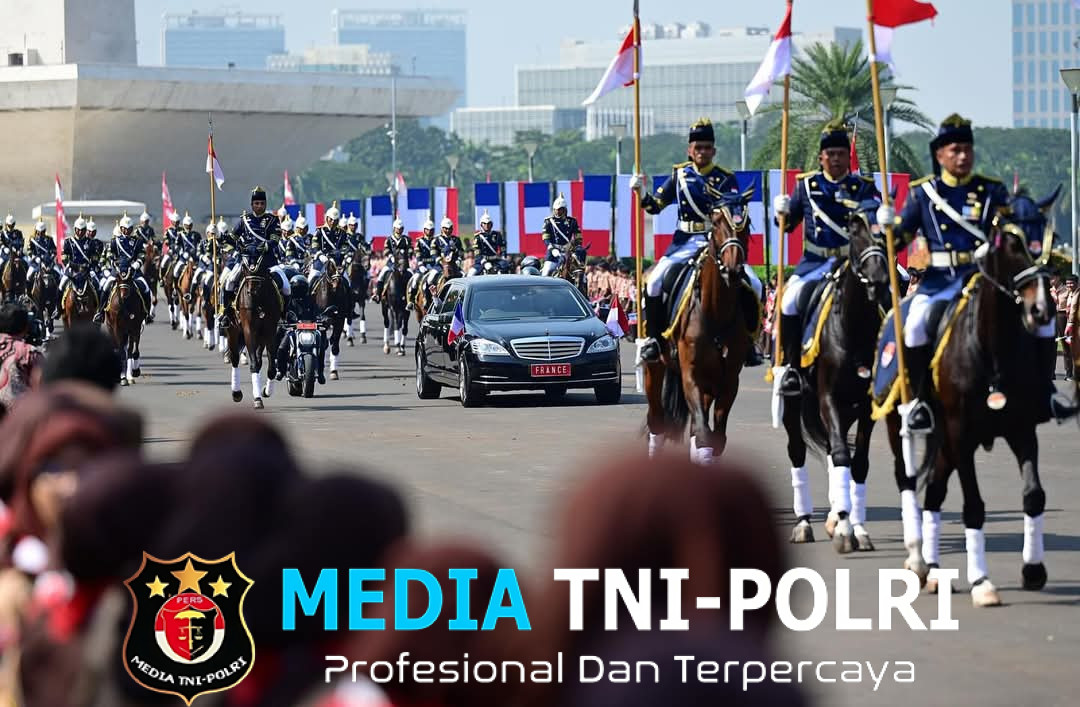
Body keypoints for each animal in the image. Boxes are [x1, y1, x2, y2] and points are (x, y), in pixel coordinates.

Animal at [225, 247, 283, 409]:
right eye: (244, 266)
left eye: (262, 265)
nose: (252, 291)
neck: (259, 301)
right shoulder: (248, 330)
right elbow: (254, 364)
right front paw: (257, 398)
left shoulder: (270, 330)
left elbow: (271, 367)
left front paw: (266, 391)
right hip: (233, 330)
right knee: (235, 358)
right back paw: (236, 392)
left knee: (258, 357)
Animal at [643, 188, 757, 464]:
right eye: (716, 222)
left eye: (746, 223)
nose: (733, 269)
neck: (715, 311)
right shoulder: (691, 375)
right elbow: (705, 436)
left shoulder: (728, 380)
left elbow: (715, 439)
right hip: (655, 369)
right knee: (657, 421)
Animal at [783, 202, 891, 553]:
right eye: (855, 232)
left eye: (886, 233)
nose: (878, 280)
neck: (854, 329)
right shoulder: (827, 396)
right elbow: (843, 454)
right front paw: (845, 530)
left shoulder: (867, 406)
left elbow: (858, 463)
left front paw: (855, 527)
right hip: (796, 403)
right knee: (798, 450)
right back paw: (804, 522)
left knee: (834, 448)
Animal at [885, 190, 1062, 607]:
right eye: (1012, 243)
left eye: (1047, 239)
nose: (1042, 309)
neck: (992, 349)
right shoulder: (960, 432)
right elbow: (974, 506)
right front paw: (982, 582)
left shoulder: (1022, 429)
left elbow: (1034, 495)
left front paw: (1033, 569)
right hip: (922, 431)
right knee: (918, 484)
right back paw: (923, 564)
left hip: (946, 444)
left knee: (934, 492)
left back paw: (932, 569)